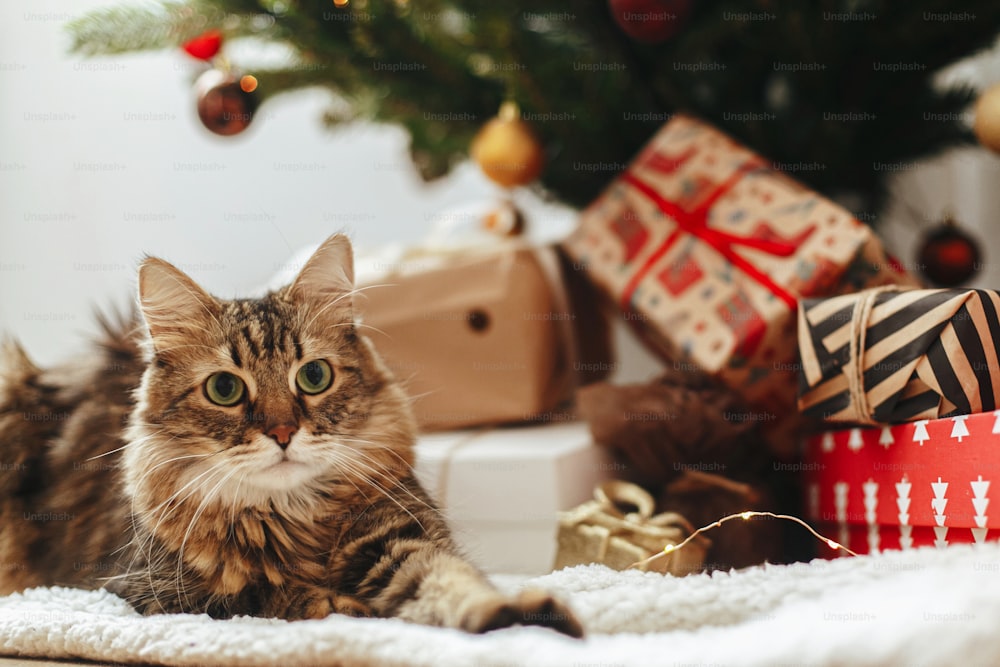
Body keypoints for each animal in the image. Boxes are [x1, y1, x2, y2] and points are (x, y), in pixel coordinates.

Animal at [0, 235, 584, 636]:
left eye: (314, 377)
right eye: (224, 388)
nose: (283, 432)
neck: (291, 519)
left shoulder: (398, 536)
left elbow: (448, 581)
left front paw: (513, 615)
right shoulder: (152, 591)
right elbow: (262, 594)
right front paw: (335, 605)